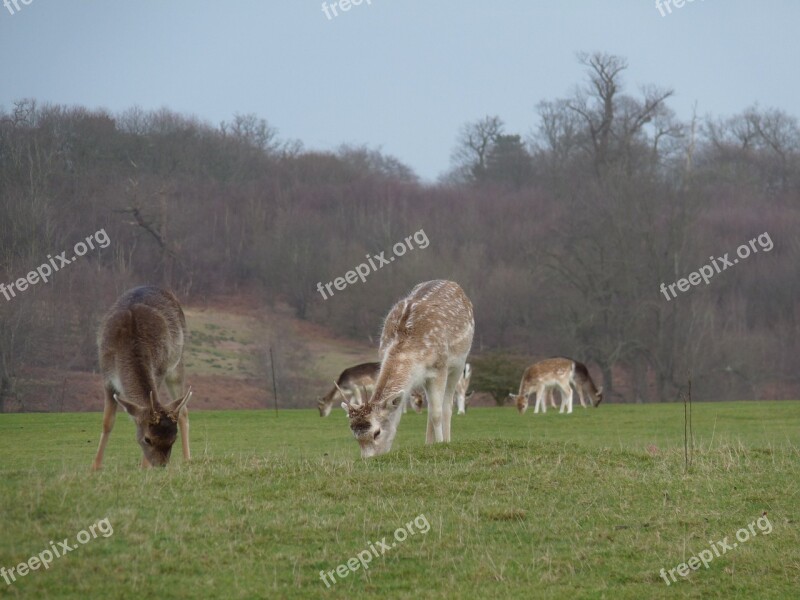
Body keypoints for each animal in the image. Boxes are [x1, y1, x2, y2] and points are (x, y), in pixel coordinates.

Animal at [90, 286, 194, 468]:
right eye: (147, 439)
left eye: (173, 439)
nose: (160, 465)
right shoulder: (107, 378)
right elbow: (107, 422)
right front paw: (95, 467)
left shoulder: (158, 371)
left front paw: (144, 466)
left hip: (177, 362)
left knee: (183, 411)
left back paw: (188, 458)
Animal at [340, 278, 476, 458]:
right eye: (355, 437)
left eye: (377, 432)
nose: (369, 459)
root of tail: (453, 284)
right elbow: (430, 410)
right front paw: (430, 445)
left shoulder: (440, 367)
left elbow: (437, 413)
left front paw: (441, 444)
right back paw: (428, 443)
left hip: (459, 363)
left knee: (447, 404)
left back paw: (446, 439)